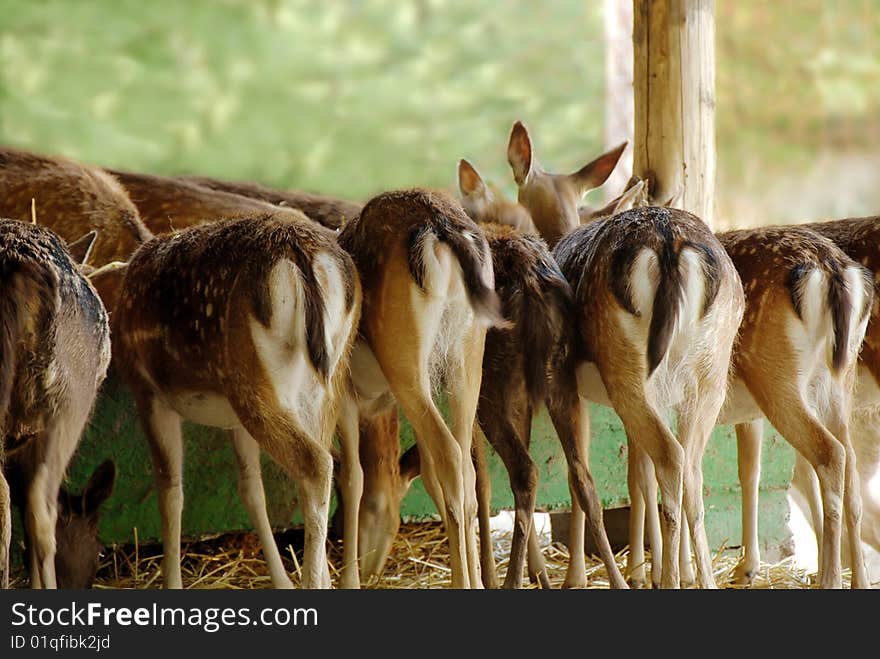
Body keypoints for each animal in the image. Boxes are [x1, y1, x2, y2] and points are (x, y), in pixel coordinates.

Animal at [111, 211, 360, 588]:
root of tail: (301, 255)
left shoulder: (148, 391)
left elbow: (170, 491)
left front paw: (172, 582)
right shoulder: (233, 421)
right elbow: (251, 490)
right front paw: (281, 581)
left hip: (253, 380)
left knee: (316, 464)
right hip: (326, 381)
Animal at [334, 188, 506, 592]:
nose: (371, 568)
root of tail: (443, 229)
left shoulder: (344, 394)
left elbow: (352, 477)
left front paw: (348, 580)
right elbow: (426, 472)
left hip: (405, 361)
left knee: (450, 456)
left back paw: (461, 583)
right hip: (466, 359)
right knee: (464, 464)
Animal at [506, 121, 744, 592]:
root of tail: (669, 245)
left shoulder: (571, 388)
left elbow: (581, 478)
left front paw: (579, 577)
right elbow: (638, 479)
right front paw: (642, 570)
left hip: (627, 373)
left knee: (671, 458)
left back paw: (670, 580)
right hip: (708, 375)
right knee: (691, 468)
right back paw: (701, 579)